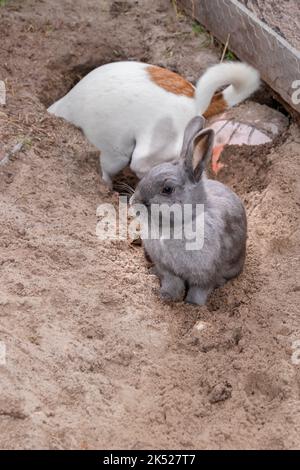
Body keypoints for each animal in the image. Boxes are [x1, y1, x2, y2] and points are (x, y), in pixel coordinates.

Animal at [131, 116, 246, 306]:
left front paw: (192, 305)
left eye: (167, 189)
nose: (134, 202)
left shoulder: (205, 276)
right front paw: (166, 296)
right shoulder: (168, 270)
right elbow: (172, 284)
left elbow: (199, 291)